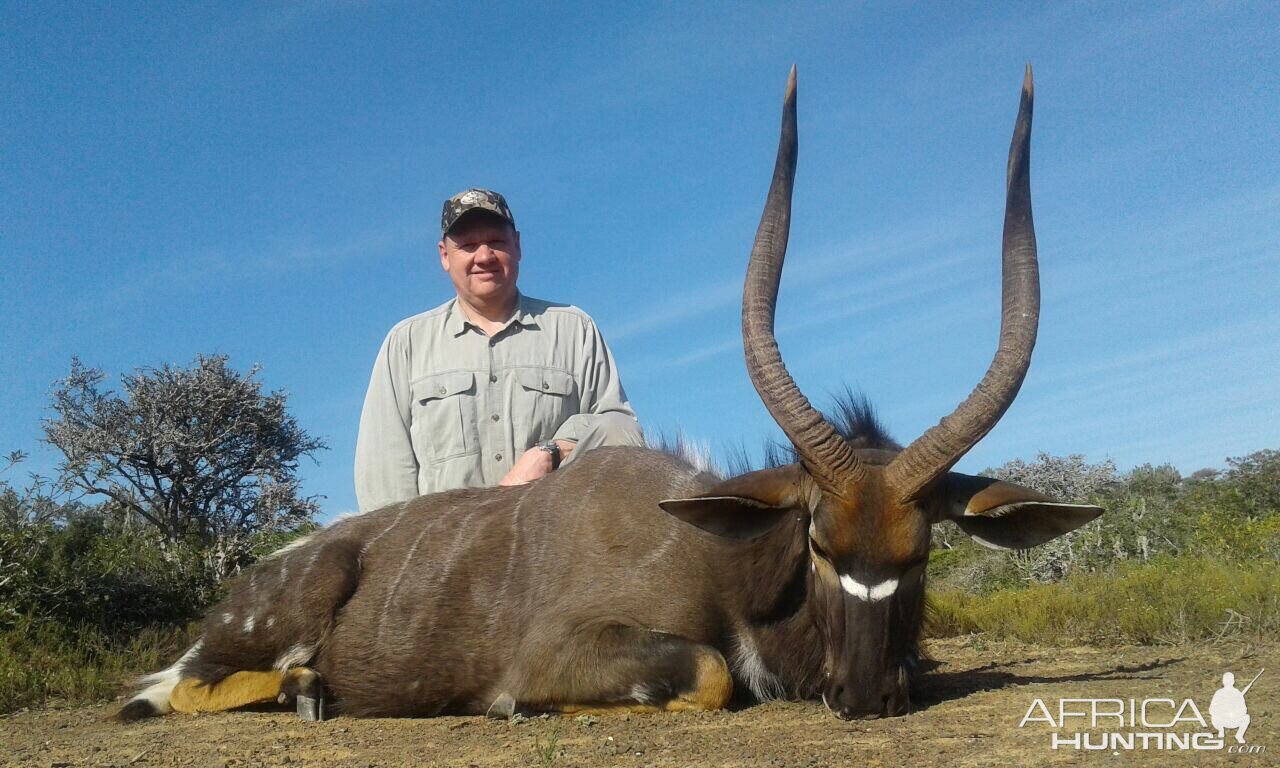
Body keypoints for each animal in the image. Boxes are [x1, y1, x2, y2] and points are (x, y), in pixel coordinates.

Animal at [117, 67, 1100, 727]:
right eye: (818, 544)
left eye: (922, 550)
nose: (863, 695)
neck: (717, 558)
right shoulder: (571, 649)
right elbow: (709, 675)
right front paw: (523, 709)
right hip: (276, 619)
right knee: (158, 691)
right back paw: (302, 689)